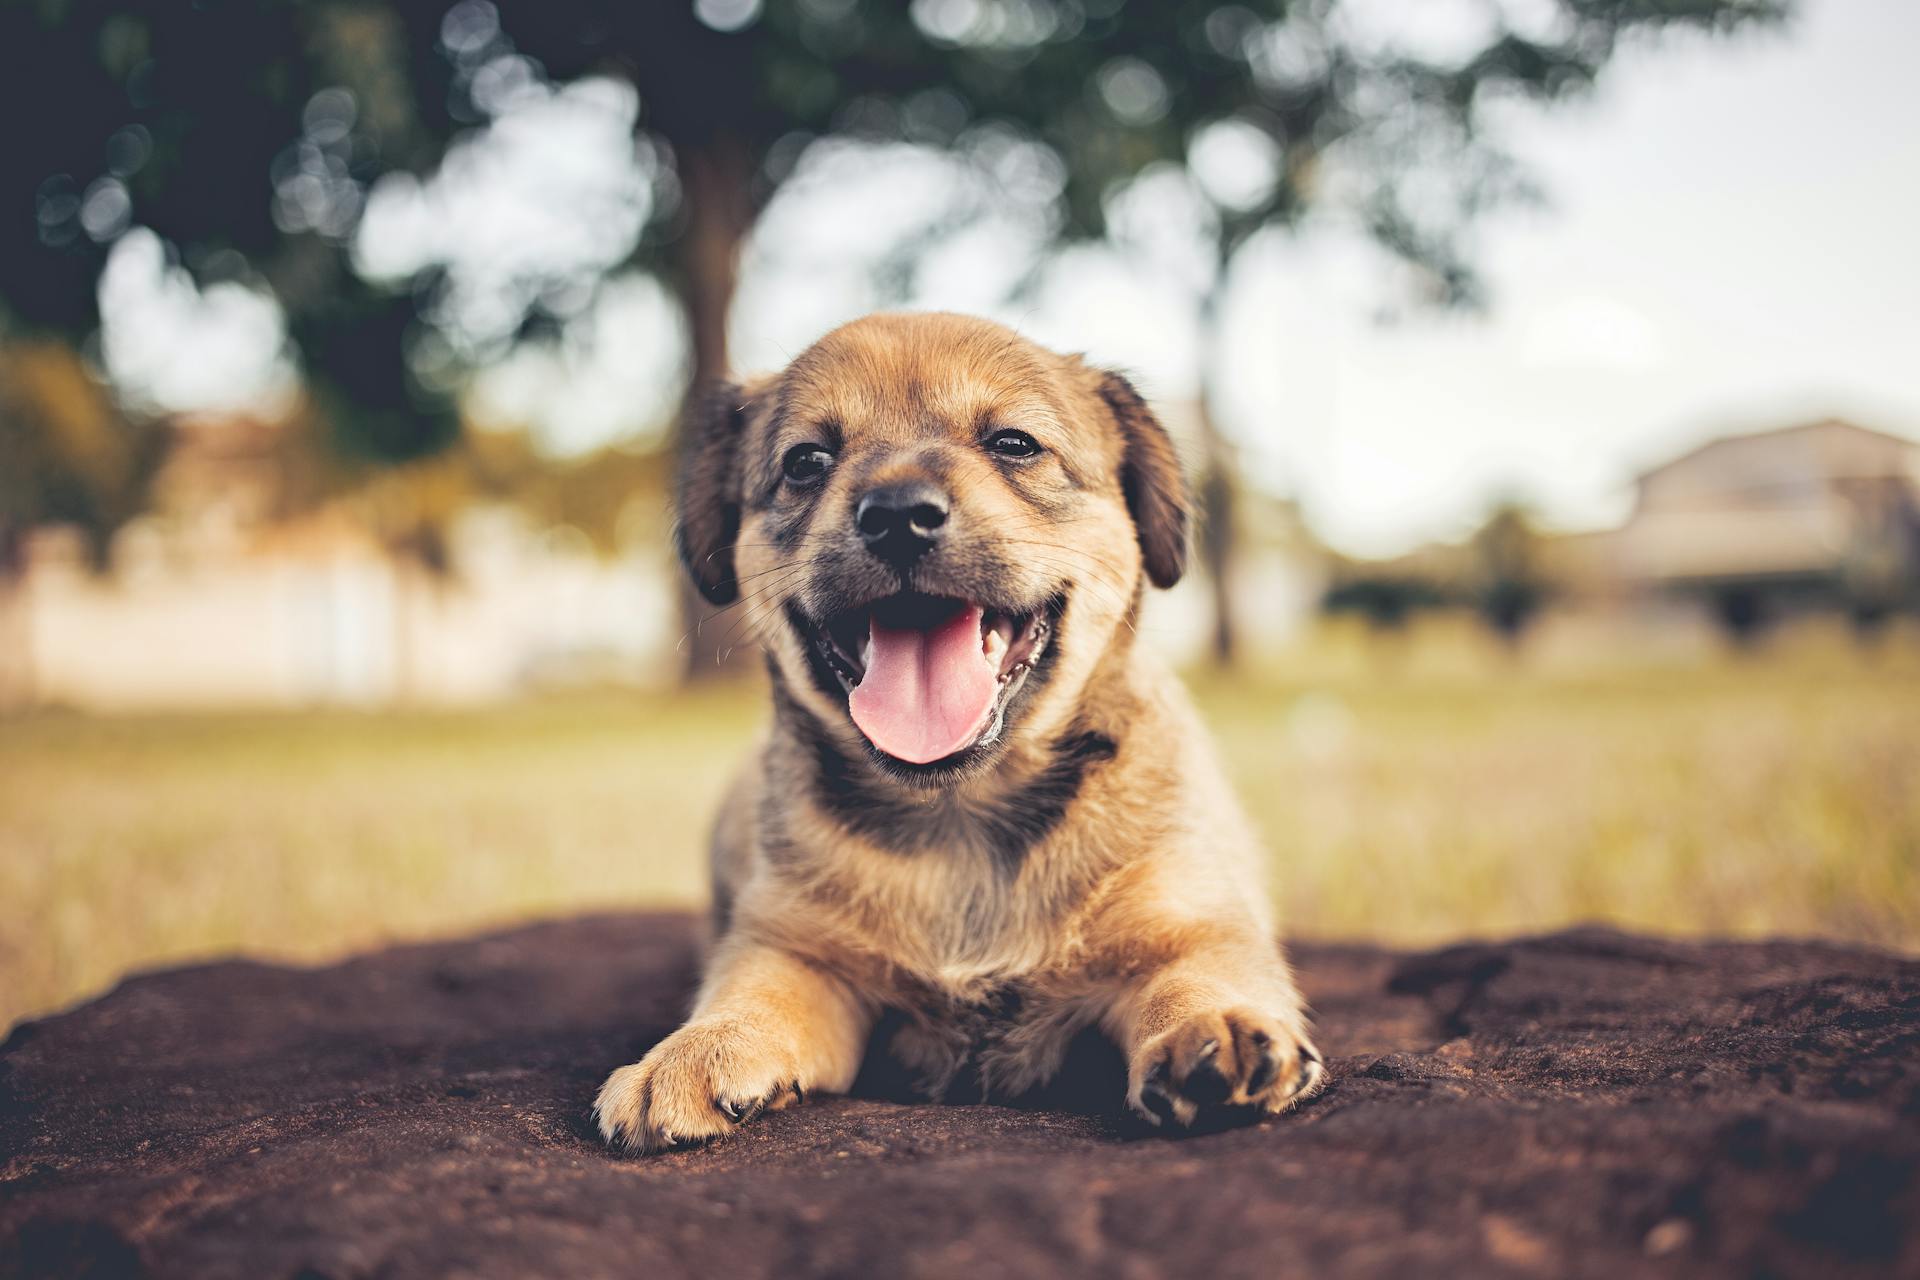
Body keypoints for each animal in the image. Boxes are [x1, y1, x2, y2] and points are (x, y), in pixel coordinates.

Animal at [595, 312, 1320, 1151]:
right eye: (806, 461)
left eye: (1013, 443)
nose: (897, 515)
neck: (959, 817)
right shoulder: (798, 949)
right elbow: (753, 990)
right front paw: (691, 1051)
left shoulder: (1189, 921)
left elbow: (1198, 974)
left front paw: (1217, 1027)